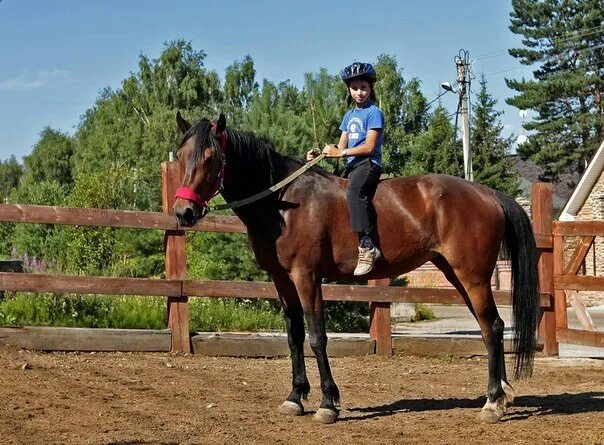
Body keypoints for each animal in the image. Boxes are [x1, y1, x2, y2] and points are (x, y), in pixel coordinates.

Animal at [172, 112, 540, 424]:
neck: (284, 204)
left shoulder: (307, 277)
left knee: (491, 327)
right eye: (180, 156)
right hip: (456, 275)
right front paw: (295, 397)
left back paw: (492, 403)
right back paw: (503, 394)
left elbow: (317, 336)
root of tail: (488, 193)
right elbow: (294, 336)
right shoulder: (282, 279)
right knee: (491, 325)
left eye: (211, 158)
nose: (183, 212)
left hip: (473, 276)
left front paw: (328, 403)